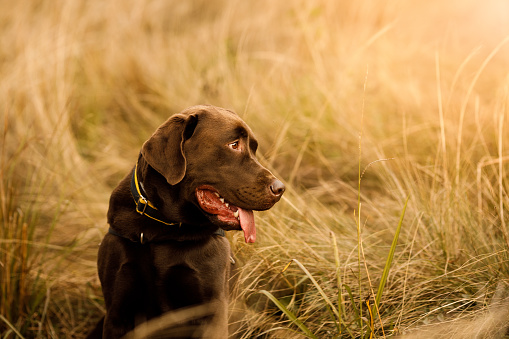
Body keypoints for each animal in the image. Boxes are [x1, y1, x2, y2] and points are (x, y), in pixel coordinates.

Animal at [88, 105, 286, 338]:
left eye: (254, 148)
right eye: (234, 145)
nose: (280, 188)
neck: (164, 229)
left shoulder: (211, 313)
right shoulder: (118, 313)